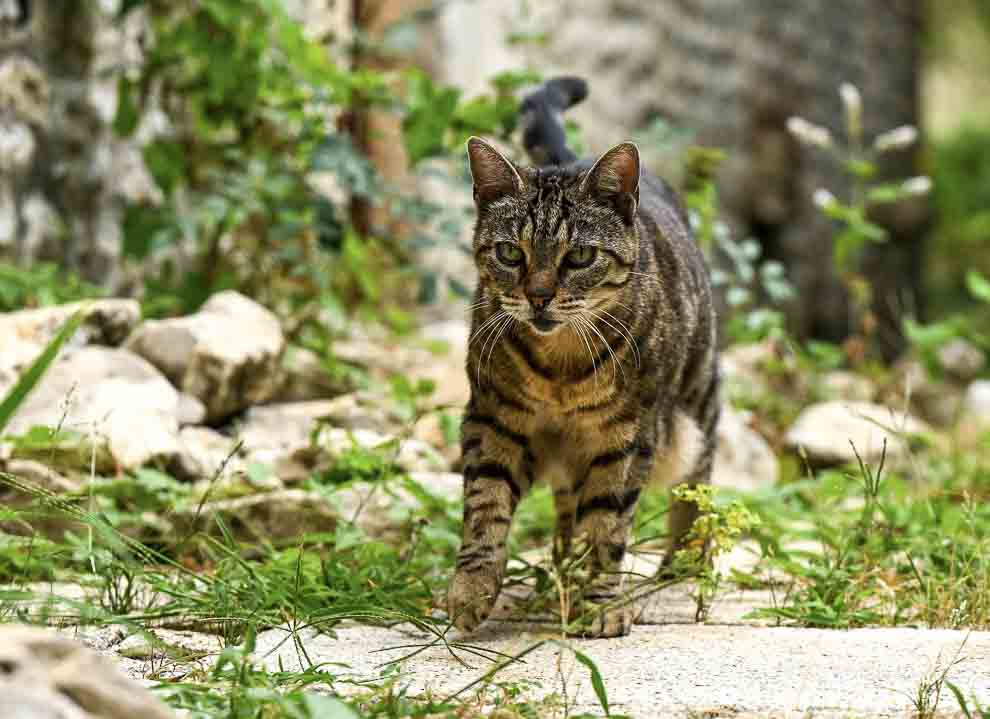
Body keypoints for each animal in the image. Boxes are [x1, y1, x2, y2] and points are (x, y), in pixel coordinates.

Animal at [450, 77, 720, 640]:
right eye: (510, 253)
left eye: (579, 257)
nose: (538, 296)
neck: (560, 368)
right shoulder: (491, 418)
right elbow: (485, 503)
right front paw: (472, 587)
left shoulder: (626, 436)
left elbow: (608, 522)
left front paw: (599, 602)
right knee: (564, 509)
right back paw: (558, 573)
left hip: (698, 404)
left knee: (694, 489)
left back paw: (681, 570)